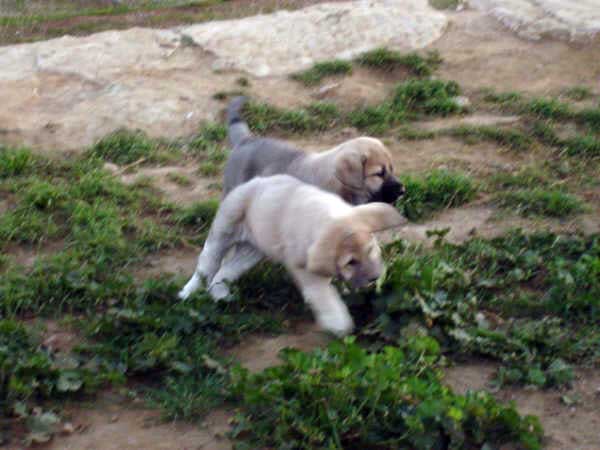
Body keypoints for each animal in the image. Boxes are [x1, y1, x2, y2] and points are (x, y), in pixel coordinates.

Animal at [176, 174, 406, 336]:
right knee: (206, 267)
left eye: (370, 250)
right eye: (351, 262)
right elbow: (324, 295)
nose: (375, 278)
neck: (326, 219)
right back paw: (187, 294)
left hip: (251, 251)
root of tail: (251, 182)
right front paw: (338, 322)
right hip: (222, 235)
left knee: (224, 272)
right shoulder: (305, 270)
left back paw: (221, 295)